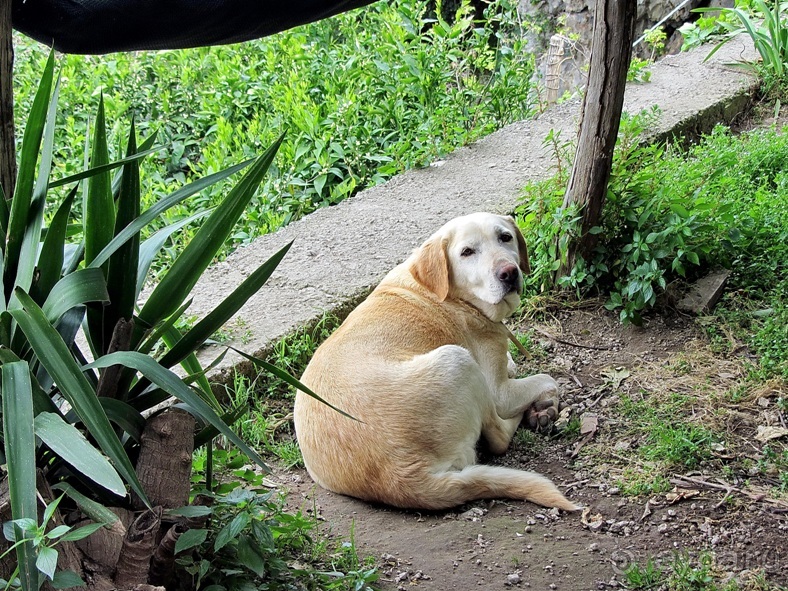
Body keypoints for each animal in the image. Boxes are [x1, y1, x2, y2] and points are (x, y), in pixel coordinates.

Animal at [296, 214, 580, 512]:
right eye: (467, 252)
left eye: (505, 237)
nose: (509, 272)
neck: (446, 293)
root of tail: (404, 478)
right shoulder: (500, 392)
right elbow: (548, 379)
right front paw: (542, 402)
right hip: (457, 359)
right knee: (498, 436)